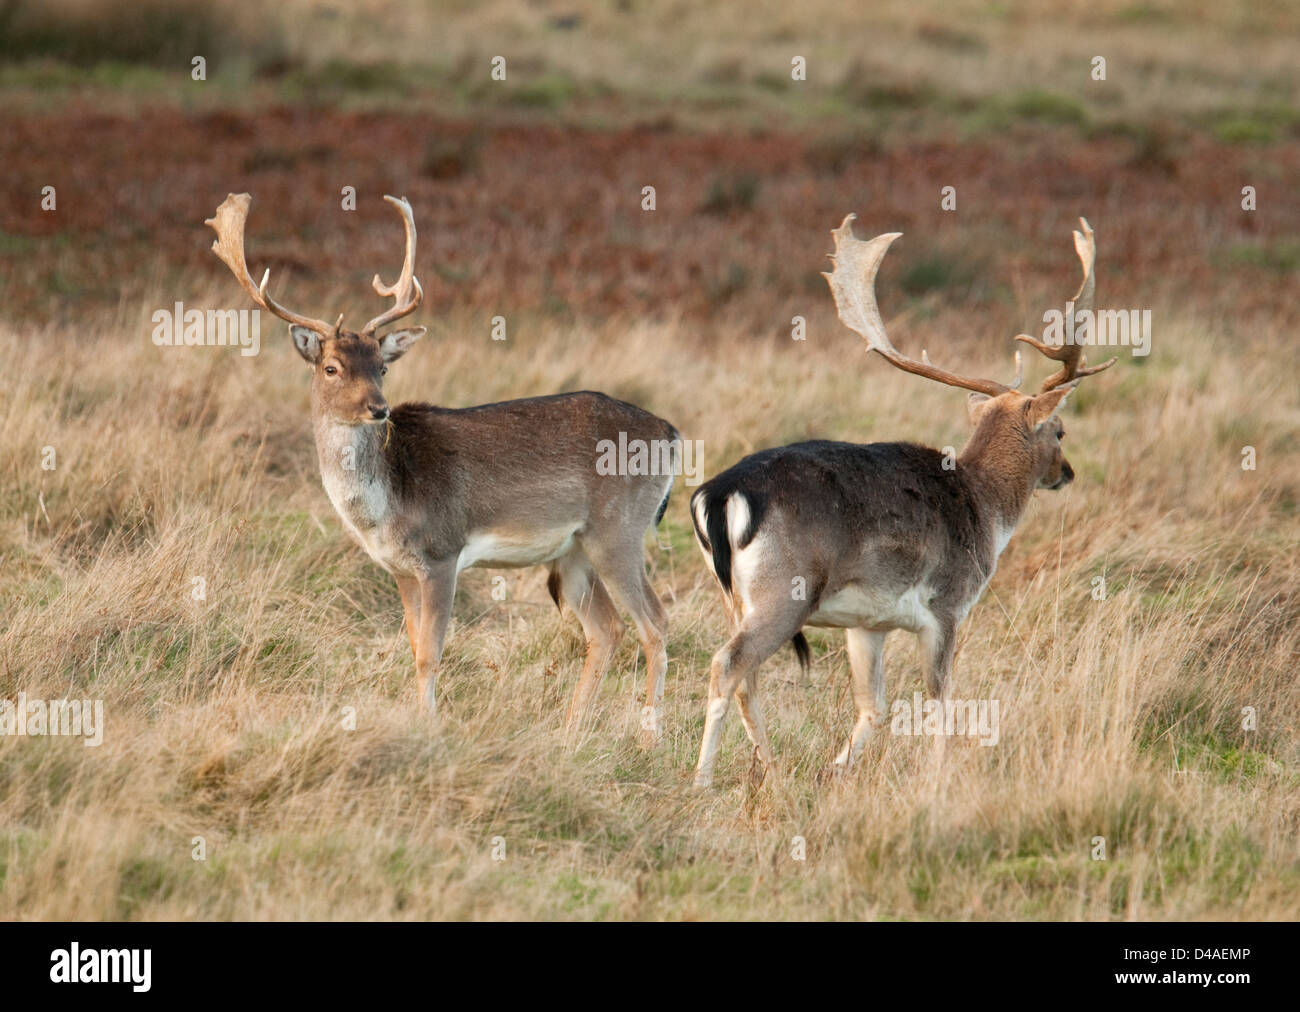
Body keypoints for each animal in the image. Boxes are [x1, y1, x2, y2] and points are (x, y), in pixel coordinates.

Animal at [202, 191, 681, 738]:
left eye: (382, 367)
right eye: (331, 367)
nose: (379, 408)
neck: (385, 507)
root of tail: (671, 434)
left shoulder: (441, 552)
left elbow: (431, 653)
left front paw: (428, 727)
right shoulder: (399, 568)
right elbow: (414, 648)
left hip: (619, 530)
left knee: (656, 622)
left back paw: (649, 737)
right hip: (573, 550)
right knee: (607, 628)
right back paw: (570, 731)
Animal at [691, 210, 1118, 780]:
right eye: (1061, 431)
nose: (1067, 472)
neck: (985, 507)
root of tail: (718, 493)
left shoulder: (867, 622)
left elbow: (874, 707)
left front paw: (837, 770)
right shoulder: (948, 605)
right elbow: (940, 700)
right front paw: (940, 773)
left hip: (732, 595)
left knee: (748, 677)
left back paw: (772, 770)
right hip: (785, 588)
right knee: (727, 664)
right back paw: (703, 778)